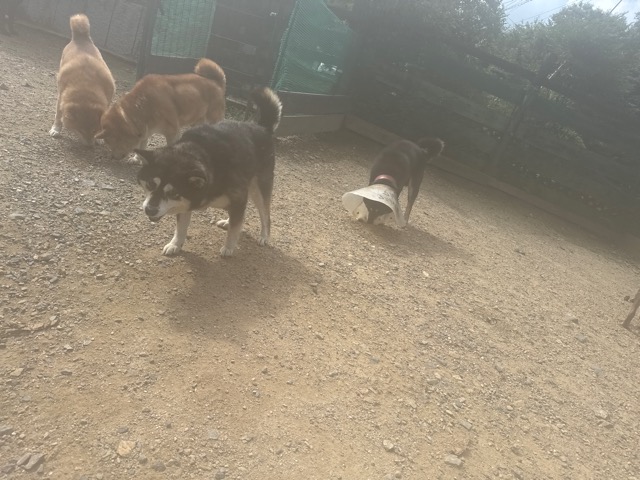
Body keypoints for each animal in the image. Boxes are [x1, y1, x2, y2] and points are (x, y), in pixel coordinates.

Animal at [49, 14, 115, 145]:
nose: (89, 145)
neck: (86, 86)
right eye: (80, 130)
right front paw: (56, 129)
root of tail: (81, 37)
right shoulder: (61, 99)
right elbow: (58, 116)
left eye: (95, 129)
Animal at [96, 58, 226, 161]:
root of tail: (216, 82)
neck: (144, 105)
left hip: (212, 118)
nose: (113, 157)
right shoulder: (145, 131)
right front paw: (137, 159)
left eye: (112, 142)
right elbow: (141, 146)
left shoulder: (172, 131)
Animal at [134, 87, 281, 257]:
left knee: (265, 216)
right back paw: (228, 221)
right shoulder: (188, 202)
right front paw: (175, 244)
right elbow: (181, 227)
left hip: (260, 189)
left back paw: (264, 236)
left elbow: (234, 229)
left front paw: (229, 247)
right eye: (151, 184)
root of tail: (262, 127)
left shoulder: (238, 196)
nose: (149, 209)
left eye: (173, 193)